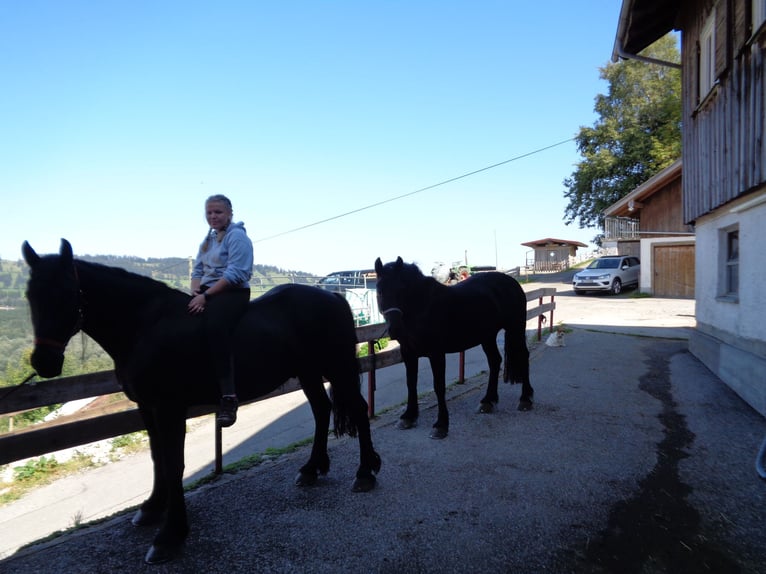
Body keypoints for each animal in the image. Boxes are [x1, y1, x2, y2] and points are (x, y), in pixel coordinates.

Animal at [22, 240, 382, 568]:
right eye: (30, 296)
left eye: (68, 293)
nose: (44, 363)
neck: (145, 326)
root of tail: (332, 296)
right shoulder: (147, 408)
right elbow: (158, 460)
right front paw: (152, 508)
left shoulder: (168, 409)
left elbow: (173, 464)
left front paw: (170, 535)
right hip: (307, 371)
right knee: (321, 410)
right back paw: (311, 468)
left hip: (338, 366)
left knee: (358, 410)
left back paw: (365, 473)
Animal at [374, 258, 536, 440]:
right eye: (379, 292)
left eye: (402, 289)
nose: (395, 330)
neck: (423, 306)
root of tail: (511, 282)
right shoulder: (408, 353)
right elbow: (411, 383)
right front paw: (409, 416)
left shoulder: (436, 354)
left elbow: (439, 387)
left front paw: (441, 425)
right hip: (487, 336)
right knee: (495, 361)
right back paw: (488, 401)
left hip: (516, 328)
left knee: (523, 356)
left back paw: (525, 399)